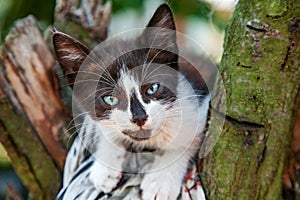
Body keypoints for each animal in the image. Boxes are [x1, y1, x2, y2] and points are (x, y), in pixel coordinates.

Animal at [52, 3, 212, 200]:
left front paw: (161, 181)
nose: (139, 118)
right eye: (110, 99)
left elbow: (189, 139)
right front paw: (105, 164)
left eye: (152, 88)